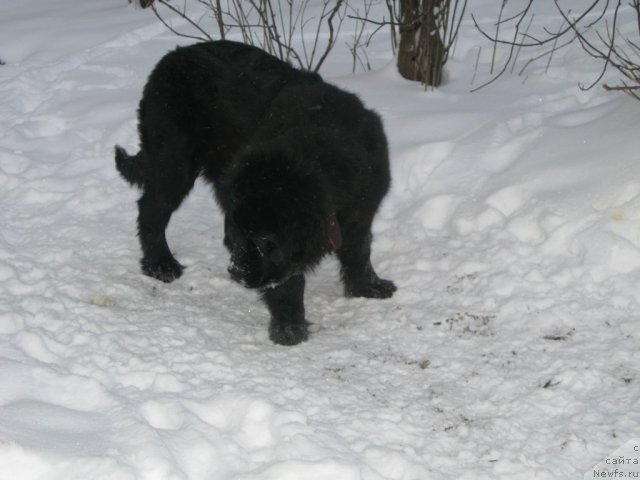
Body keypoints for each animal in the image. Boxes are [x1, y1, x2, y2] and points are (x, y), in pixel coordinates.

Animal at [115, 39, 396, 344]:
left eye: (263, 240)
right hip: (173, 161)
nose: (236, 273)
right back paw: (161, 265)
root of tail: (171, 57)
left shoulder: (362, 209)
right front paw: (289, 328)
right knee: (151, 209)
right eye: (242, 236)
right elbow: (287, 280)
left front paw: (367, 287)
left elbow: (359, 252)